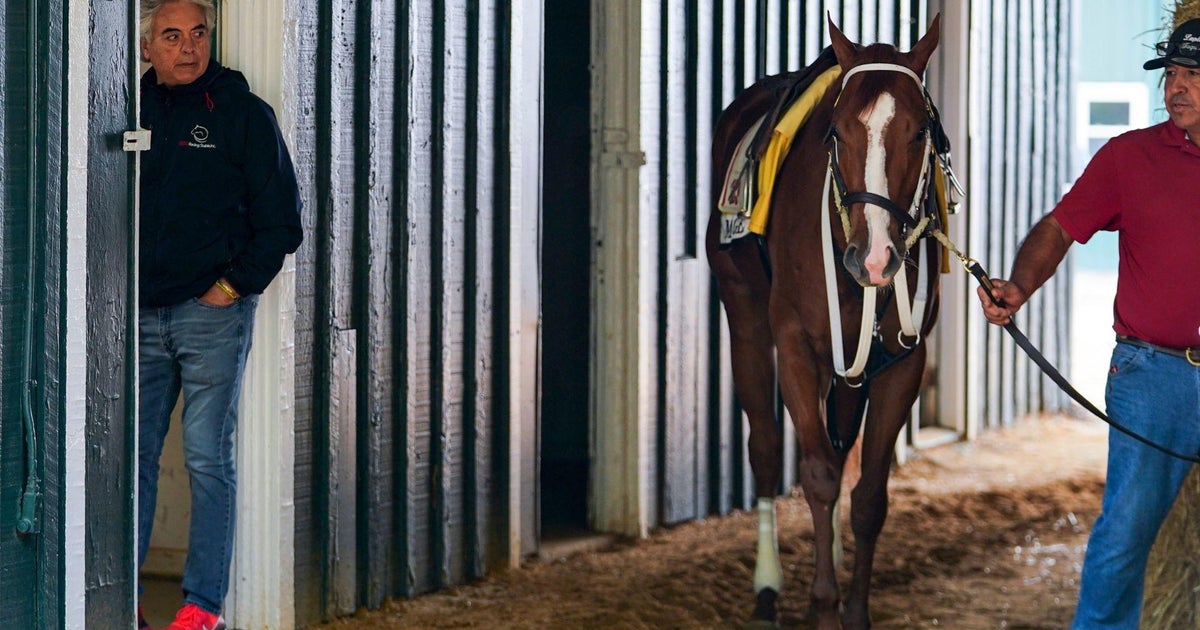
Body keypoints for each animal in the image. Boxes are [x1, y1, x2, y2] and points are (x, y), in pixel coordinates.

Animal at [706, 16, 945, 630]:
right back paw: (768, 588)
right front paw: (821, 604)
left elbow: (869, 495)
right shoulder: (794, 345)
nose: (875, 257)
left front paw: (852, 608)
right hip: (744, 316)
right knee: (767, 448)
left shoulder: (903, 362)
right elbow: (816, 476)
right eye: (835, 133)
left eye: (919, 132)